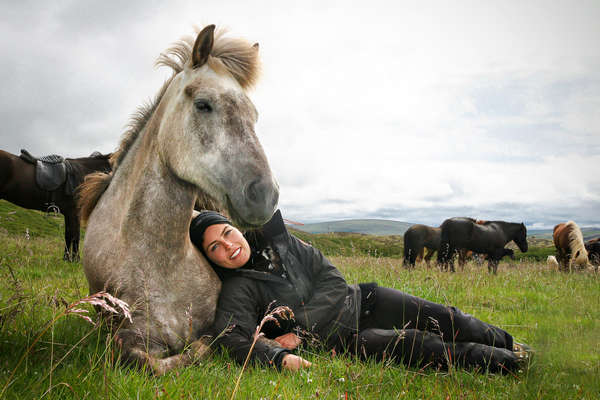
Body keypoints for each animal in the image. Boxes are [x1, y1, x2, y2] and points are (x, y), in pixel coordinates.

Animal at [77, 25, 278, 376]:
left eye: (254, 115)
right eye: (203, 104)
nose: (265, 195)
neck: (160, 265)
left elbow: (208, 342)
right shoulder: (129, 338)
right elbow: (151, 359)